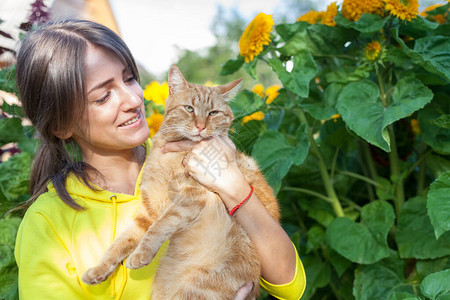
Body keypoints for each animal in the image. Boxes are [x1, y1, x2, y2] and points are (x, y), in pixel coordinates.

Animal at [80, 64, 278, 298]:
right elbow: (121, 242)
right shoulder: (148, 209)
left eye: (213, 113)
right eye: (189, 109)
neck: (169, 155)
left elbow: (159, 226)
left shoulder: (190, 197)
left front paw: (140, 255)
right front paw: (99, 270)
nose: (201, 126)